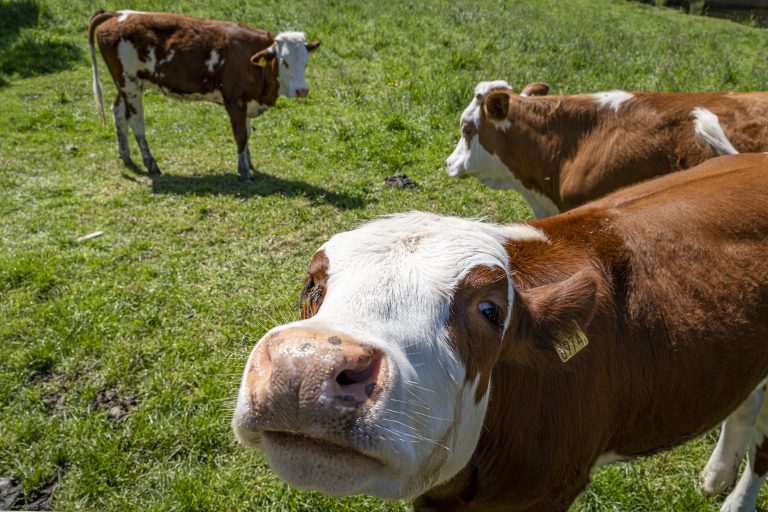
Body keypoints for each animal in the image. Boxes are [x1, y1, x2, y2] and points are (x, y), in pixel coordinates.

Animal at [88, 10, 320, 180]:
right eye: (284, 62)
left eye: (305, 62)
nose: (302, 90)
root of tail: (115, 14)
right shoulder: (234, 100)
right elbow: (240, 135)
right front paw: (244, 171)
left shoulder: (246, 101)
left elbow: (246, 132)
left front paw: (249, 162)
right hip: (129, 84)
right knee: (136, 122)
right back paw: (151, 164)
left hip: (127, 84)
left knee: (118, 112)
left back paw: (125, 155)